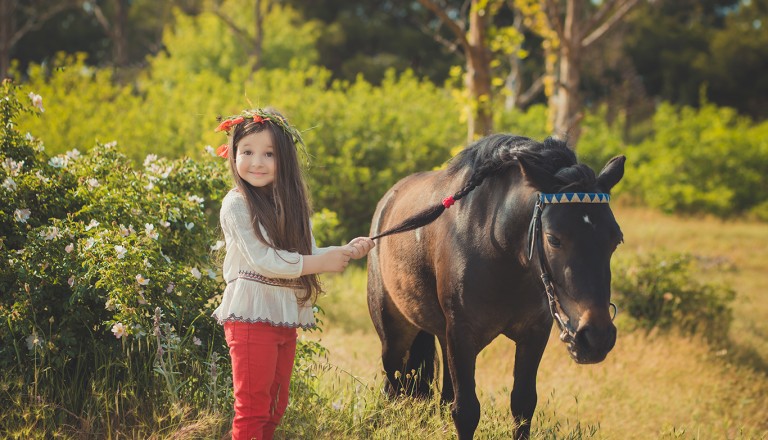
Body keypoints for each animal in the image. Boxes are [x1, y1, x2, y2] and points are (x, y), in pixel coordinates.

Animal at [366, 134, 624, 440]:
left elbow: (523, 404)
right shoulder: (462, 336)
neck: (499, 247)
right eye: (553, 239)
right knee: (393, 385)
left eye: (616, 239)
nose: (596, 337)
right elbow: (466, 412)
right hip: (395, 337)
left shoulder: (534, 334)